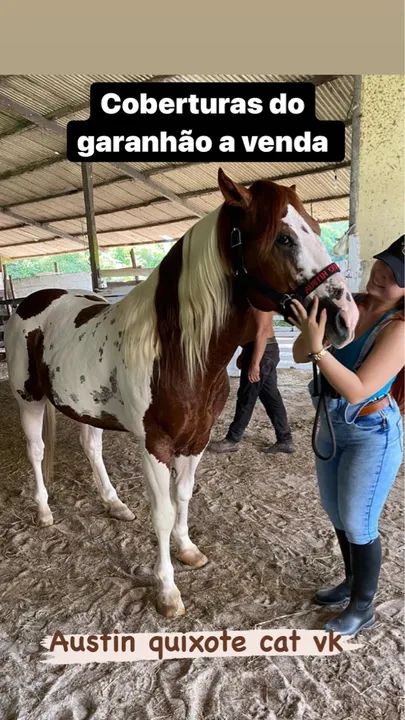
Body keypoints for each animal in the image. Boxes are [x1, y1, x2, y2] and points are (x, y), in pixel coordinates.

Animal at [5, 169, 359, 617]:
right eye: (283, 238)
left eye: (314, 226)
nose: (345, 318)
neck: (178, 352)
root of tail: (33, 301)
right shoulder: (155, 445)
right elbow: (162, 511)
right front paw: (168, 591)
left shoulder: (197, 440)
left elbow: (185, 496)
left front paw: (188, 550)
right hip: (28, 399)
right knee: (35, 451)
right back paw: (45, 510)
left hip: (86, 408)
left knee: (91, 446)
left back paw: (114, 504)